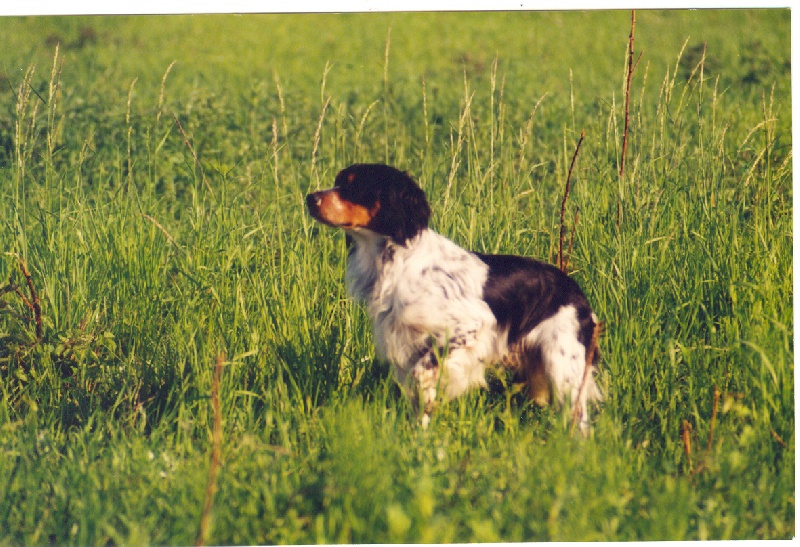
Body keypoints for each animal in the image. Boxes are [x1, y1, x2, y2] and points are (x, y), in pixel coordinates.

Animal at [306, 163, 602, 430]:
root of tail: (576, 292)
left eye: (355, 186)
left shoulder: (468, 326)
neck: (396, 259)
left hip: (563, 366)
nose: (310, 198)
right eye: (339, 181)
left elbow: (423, 375)